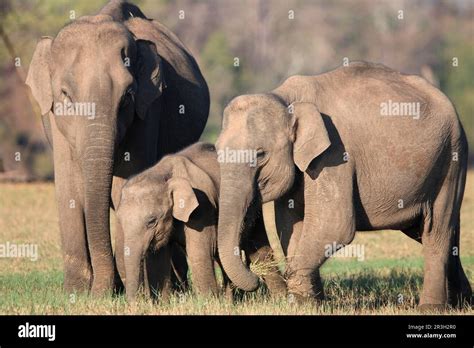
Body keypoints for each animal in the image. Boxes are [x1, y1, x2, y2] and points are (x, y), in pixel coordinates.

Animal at [25, 0, 209, 294]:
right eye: (66, 96)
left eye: (127, 97)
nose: (101, 293)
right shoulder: (54, 121)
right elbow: (69, 190)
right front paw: (75, 293)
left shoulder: (148, 111)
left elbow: (125, 186)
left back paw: (176, 288)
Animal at [116, 143, 286, 300]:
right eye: (120, 222)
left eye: (151, 221)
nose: (135, 302)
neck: (162, 174)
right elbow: (157, 259)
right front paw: (163, 303)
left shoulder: (202, 206)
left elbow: (198, 253)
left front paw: (209, 302)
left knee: (258, 247)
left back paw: (279, 298)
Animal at [217, 61, 472, 308]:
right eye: (218, 151)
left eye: (260, 154)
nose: (255, 278)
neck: (286, 97)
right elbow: (290, 225)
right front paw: (312, 304)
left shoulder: (335, 154)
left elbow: (334, 225)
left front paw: (301, 303)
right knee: (440, 233)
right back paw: (462, 302)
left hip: (450, 159)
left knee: (435, 232)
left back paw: (431, 307)